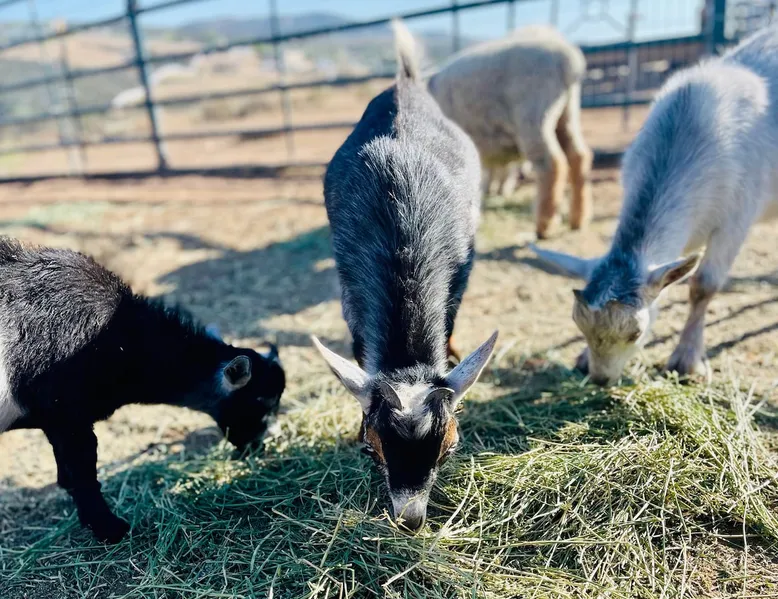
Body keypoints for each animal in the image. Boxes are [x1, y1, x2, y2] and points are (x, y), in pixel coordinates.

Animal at [0, 238, 285, 543]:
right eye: (260, 400)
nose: (265, 445)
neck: (123, 341)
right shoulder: (67, 415)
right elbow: (82, 471)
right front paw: (110, 529)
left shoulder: (57, 422)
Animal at [312, 20, 497, 533]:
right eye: (369, 448)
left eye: (451, 447)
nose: (410, 520)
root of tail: (406, 82)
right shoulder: (348, 288)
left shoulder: (462, 270)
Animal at [427, 25, 593, 239]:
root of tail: (568, 60)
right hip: (566, 114)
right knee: (578, 156)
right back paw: (578, 220)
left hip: (534, 113)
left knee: (552, 164)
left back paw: (545, 225)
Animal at [530, 25, 778, 386]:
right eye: (578, 325)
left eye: (635, 333)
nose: (600, 379)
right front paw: (581, 357)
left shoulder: (737, 216)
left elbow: (704, 285)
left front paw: (686, 360)